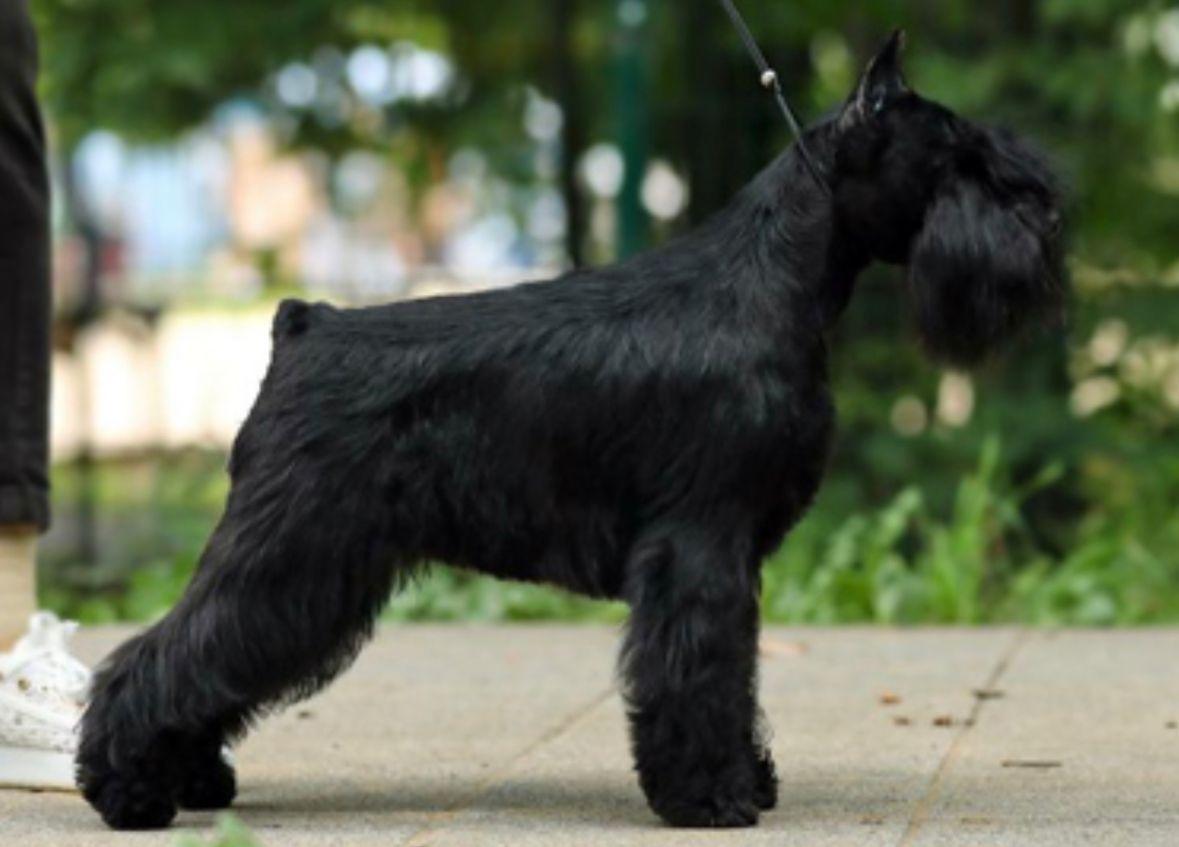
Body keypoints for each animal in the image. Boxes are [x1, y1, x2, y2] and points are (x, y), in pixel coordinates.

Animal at [78, 32, 1065, 830]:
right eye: (958, 158)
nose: (1046, 217)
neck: (771, 282)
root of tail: (302, 324)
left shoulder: (732, 552)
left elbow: (735, 671)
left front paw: (743, 776)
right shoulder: (699, 542)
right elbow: (698, 669)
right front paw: (710, 796)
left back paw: (190, 777)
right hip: (294, 547)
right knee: (167, 650)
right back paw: (125, 788)